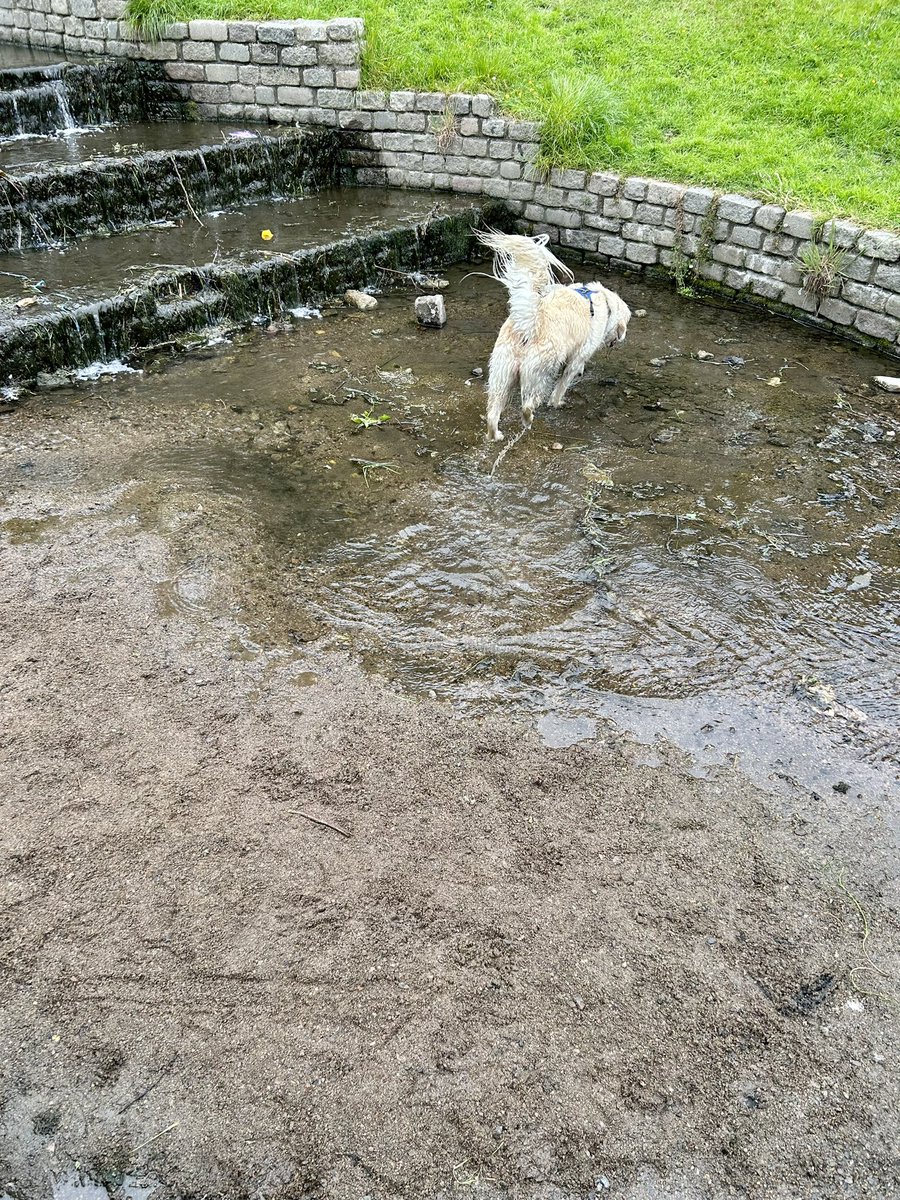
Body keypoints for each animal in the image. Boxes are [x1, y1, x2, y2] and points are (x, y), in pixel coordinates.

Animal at [480, 229, 633, 441]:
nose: (621, 338)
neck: (603, 301)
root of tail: (530, 324)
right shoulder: (578, 356)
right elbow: (564, 381)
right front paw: (557, 401)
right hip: (541, 371)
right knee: (527, 405)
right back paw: (528, 421)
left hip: (502, 373)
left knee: (492, 413)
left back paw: (496, 435)